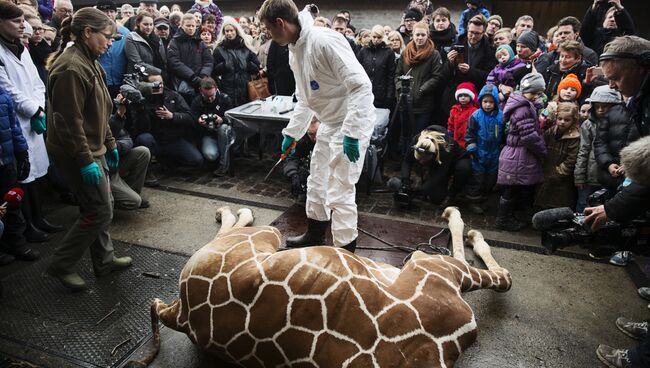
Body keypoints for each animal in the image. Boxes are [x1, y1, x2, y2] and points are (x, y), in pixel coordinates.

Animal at [126, 206, 512, 366]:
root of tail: (180, 313)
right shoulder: (433, 268)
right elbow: (501, 275)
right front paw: (462, 222)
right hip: (266, 235)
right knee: (236, 228)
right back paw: (230, 210)